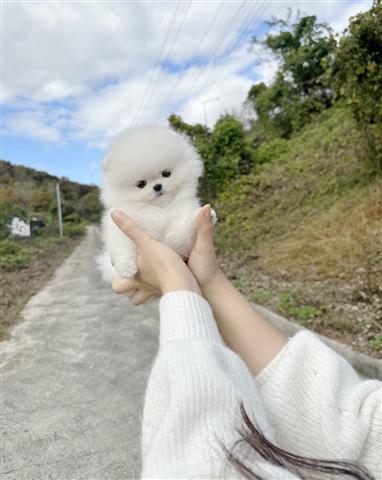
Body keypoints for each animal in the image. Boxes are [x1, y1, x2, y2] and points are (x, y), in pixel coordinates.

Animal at [96, 124, 215, 284]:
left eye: (166, 173)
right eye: (141, 184)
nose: (157, 186)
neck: (158, 209)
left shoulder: (174, 238)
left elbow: (183, 228)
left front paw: (204, 215)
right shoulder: (116, 225)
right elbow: (121, 245)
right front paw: (126, 268)